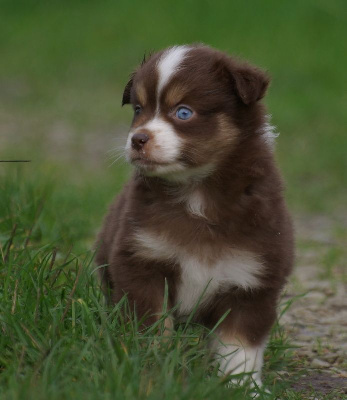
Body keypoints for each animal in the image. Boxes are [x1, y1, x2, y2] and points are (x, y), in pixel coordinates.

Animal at [95, 43, 294, 388]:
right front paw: (150, 366)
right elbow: (152, 325)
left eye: (184, 112)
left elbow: (240, 346)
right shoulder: (142, 259)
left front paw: (242, 387)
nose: (137, 139)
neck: (197, 196)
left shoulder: (252, 281)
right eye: (138, 109)